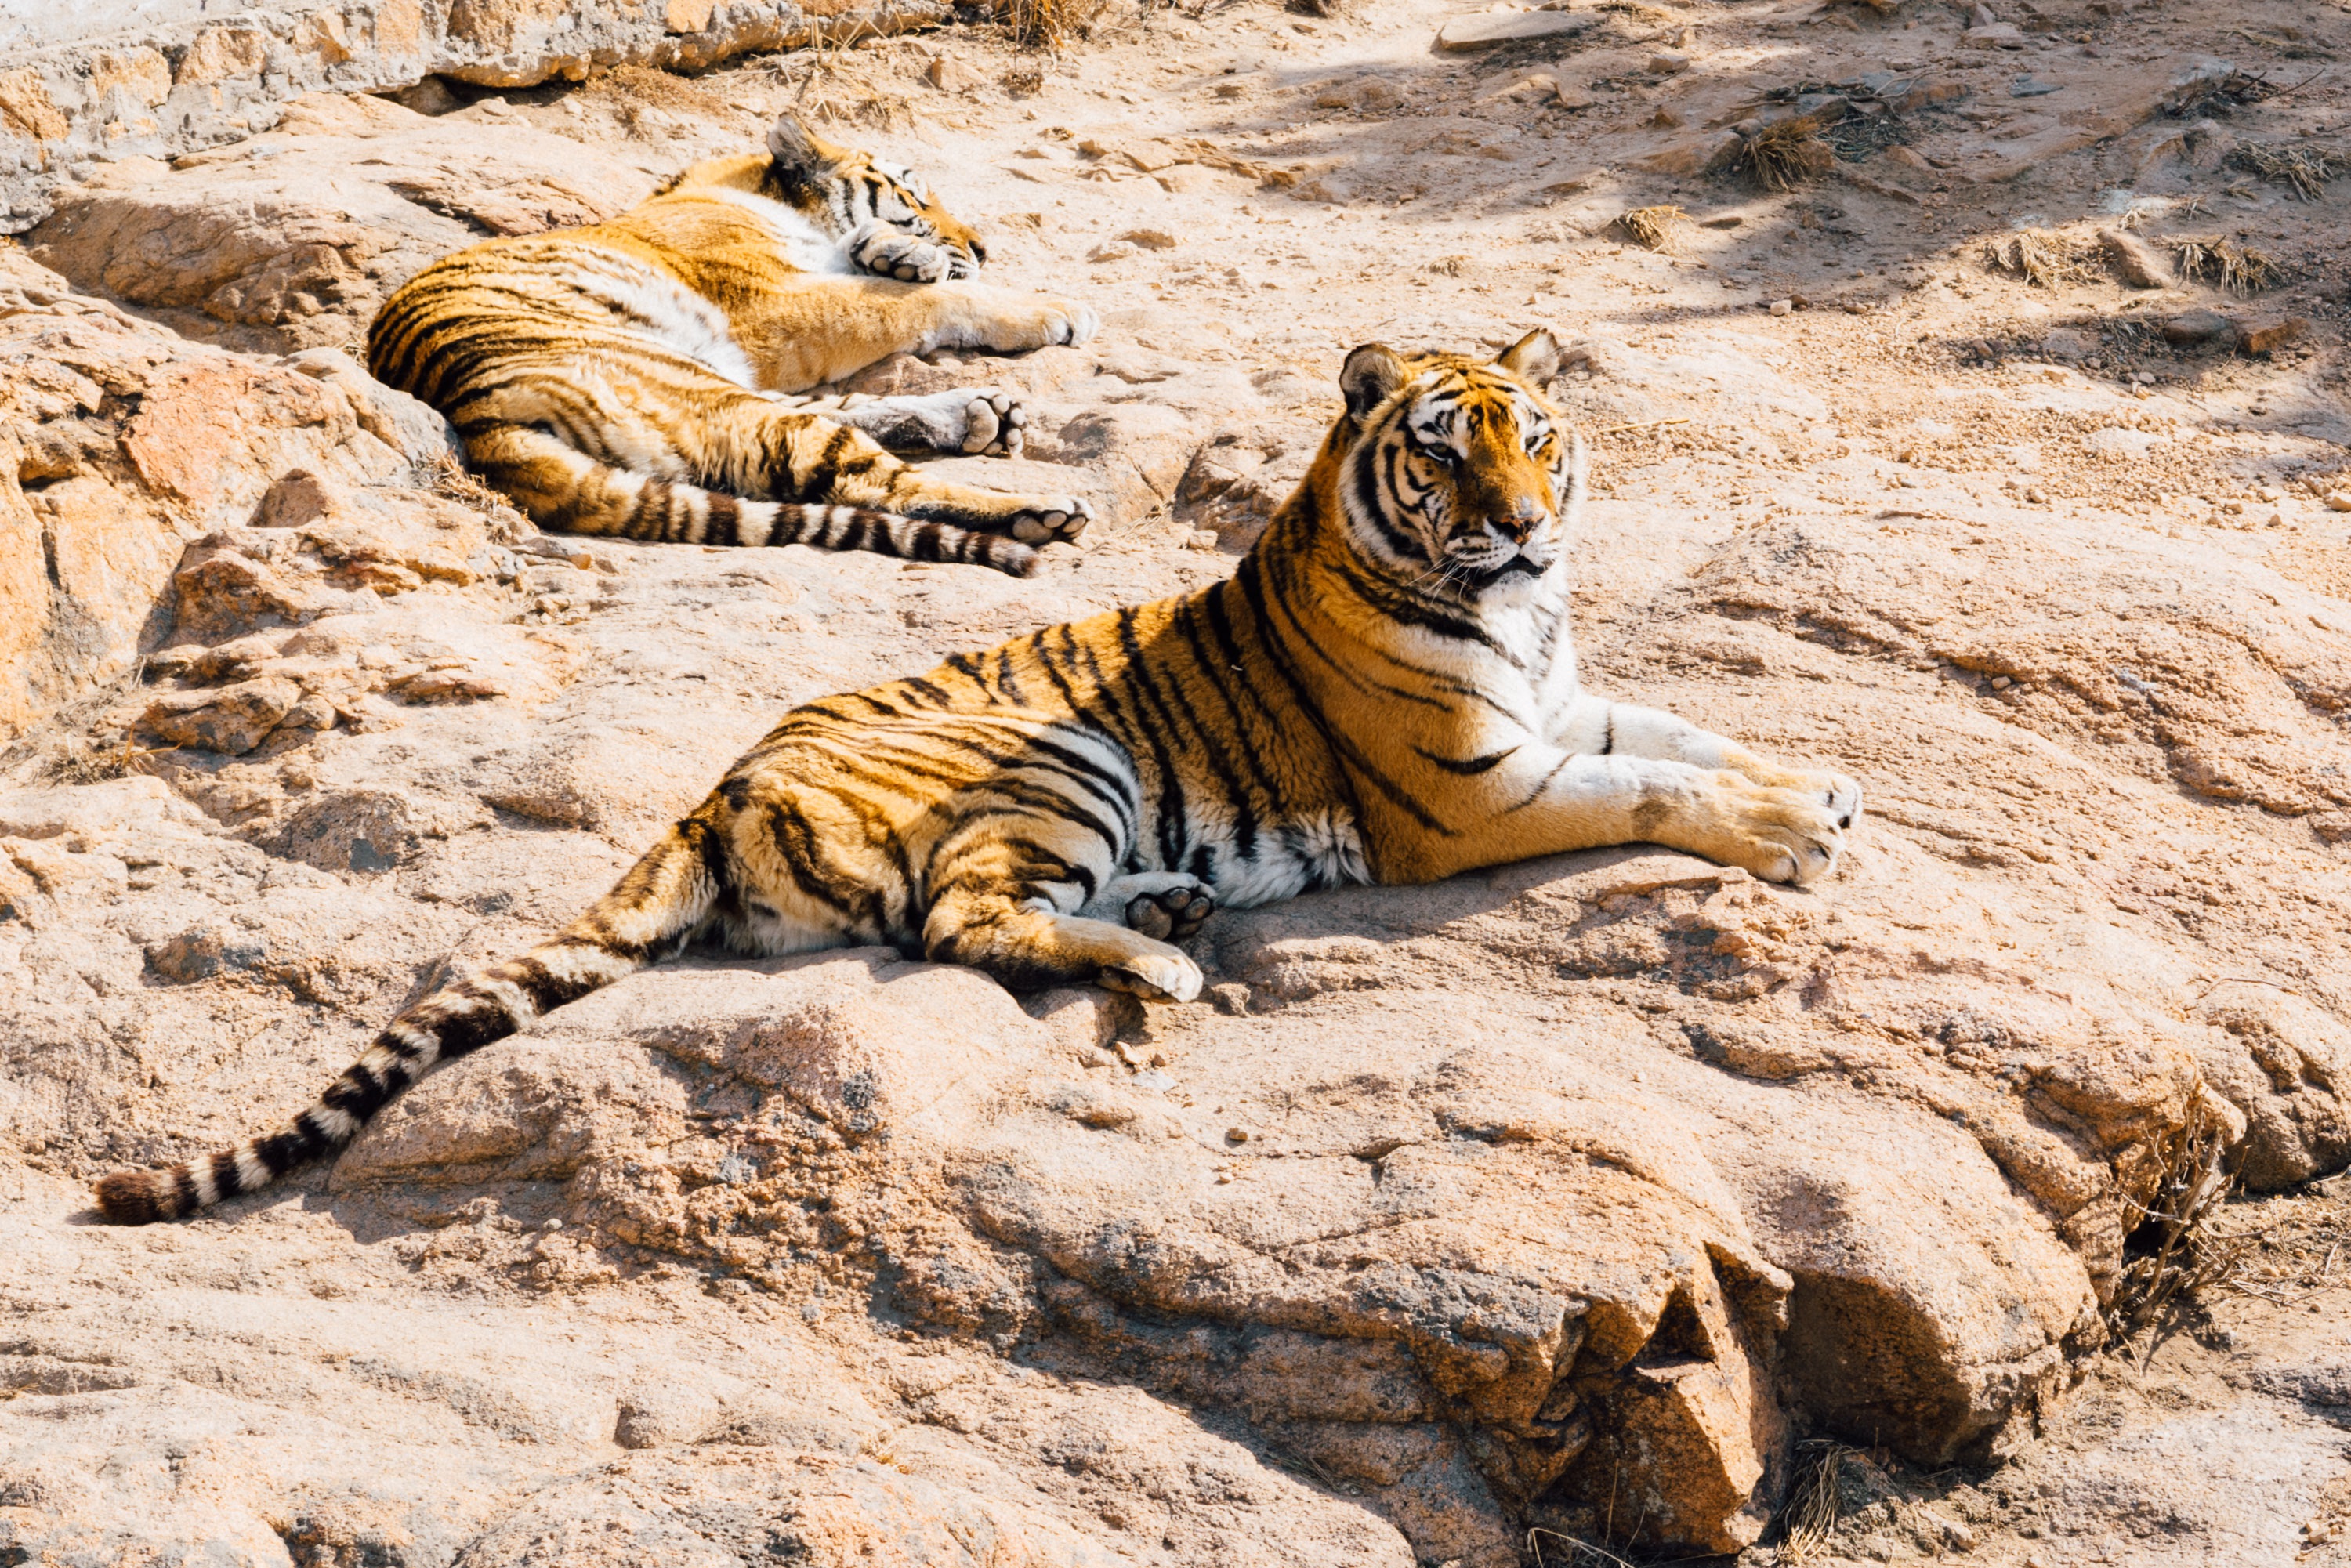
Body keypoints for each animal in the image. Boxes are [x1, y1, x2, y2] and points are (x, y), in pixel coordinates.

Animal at [96, 324, 1871, 1222]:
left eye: (1536, 436)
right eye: (1443, 450)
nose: (1519, 521)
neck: (1520, 609)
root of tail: (709, 789)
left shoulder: (1562, 707)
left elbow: (1687, 738)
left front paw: (1829, 783)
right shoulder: (1472, 791)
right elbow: (1658, 790)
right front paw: (1798, 826)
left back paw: (1169, 914)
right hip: (1066, 751)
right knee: (960, 920)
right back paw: (1170, 954)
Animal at [367, 111, 1100, 576]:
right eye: (916, 195)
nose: (983, 247)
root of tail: (479, 423)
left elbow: (882, 272)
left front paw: (894, 254)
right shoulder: (772, 308)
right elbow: (926, 300)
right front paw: (1057, 309)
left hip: (718, 393)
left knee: (839, 423)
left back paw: (983, 413)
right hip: (703, 390)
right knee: (871, 482)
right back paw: (1040, 509)